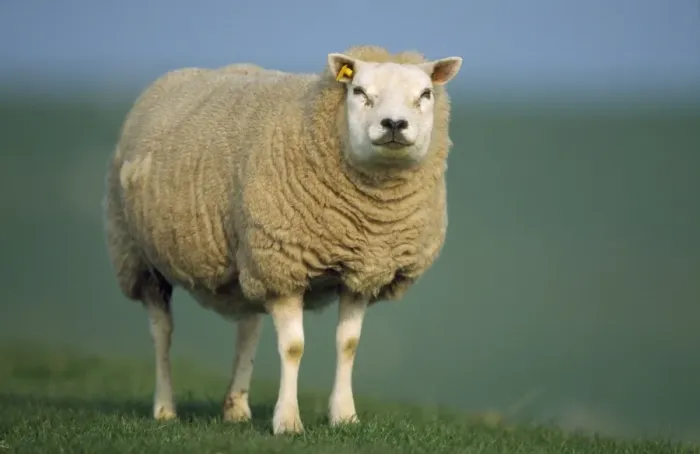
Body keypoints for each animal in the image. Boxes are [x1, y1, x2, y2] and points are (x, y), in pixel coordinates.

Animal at [102, 45, 462, 435]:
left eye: (425, 94)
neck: (370, 217)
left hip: (248, 259)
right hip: (139, 255)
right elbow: (293, 348)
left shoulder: (362, 271)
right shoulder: (285, 265)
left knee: (248, 328)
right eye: (359, 91)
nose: (394, 124)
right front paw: (288, 421)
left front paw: (344, 416)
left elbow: (348, 344)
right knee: (162, 332)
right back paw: (165, 408)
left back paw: (236, 408)